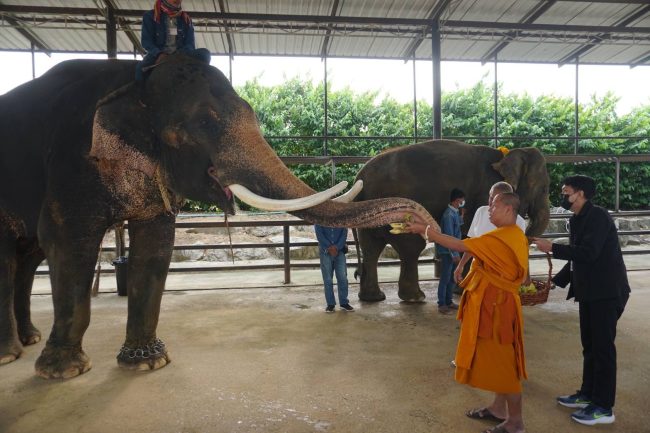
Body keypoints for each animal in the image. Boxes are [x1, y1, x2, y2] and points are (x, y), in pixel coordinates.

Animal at [2, 53, 436, 378]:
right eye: (204, 122)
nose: (419, 216)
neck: (137, 78)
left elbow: (155, 249)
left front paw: (148, 363)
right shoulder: (71, 159)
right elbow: (66, 242)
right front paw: (64, 372)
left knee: (26, 260)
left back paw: (27, 340)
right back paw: (13, 353)